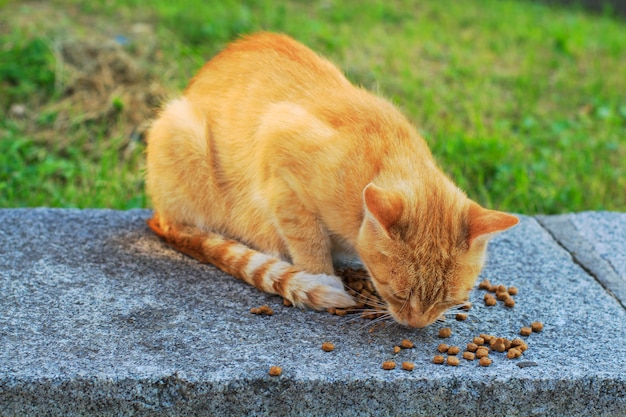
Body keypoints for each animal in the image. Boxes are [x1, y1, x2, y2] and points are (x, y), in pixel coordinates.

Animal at [145, 31, 516, 328]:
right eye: (397, 294)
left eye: (447, 301)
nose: (416, 325)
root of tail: (159, 216)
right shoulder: (278, 153)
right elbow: (308, 242)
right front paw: (318, 278)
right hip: (181, 133)